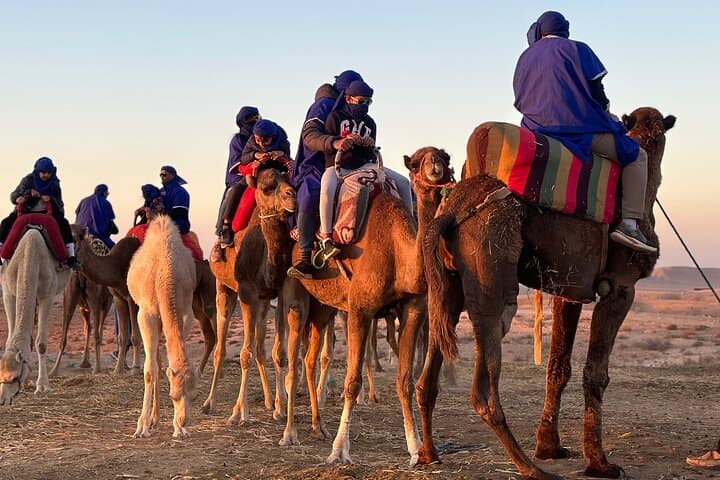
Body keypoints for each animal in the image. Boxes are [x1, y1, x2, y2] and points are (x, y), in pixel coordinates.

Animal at [0, 229, 71, 405]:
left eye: (14, 377)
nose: (2, 400)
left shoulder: (47, 296)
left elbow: (41, 344)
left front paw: (42, 386)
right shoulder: (8, 291)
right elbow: (10, 338)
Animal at [73, 225, 217, 374]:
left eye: (75, 238)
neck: (115, 265)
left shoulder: (132, 299)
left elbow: (136, 336)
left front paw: (136, 368)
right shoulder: (118, 298)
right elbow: (122, 336)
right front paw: (118, 370)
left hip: (209, 289)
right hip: (194, 300)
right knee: (209, 334)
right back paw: (199, 370)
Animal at [128, 215, 196, 438]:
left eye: (193, 396)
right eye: (173, 395)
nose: (184, 420)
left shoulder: (185, 313)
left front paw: (179, 429)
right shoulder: (145, 314)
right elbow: (149, 370)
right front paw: (141, 426)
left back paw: (155, 418)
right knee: (155, 361)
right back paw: (151, 420)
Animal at [275, 147, 453, 461]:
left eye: (445, 157)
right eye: (415, 163)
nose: (435, 166)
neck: (398, 254)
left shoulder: (414, 311)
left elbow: (404, 381)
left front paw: (416, 449)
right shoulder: (360, 309)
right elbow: (352, 382)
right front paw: (338, 451)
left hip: (323, 307)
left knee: (309, 359)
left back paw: (318, 427)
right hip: (295, 293)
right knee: (294, 362)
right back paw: (290, 434)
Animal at [416, 107, 675, 480]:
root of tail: (450, 210)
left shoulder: (570, 290)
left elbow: (558, 367)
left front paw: (550, 447)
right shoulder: (622, 287)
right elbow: (596, 373)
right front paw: (599, 462)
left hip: (447, 287)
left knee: (428, 375)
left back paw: (429, 454)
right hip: (492, 277)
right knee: (483, 388)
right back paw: (530, 468)